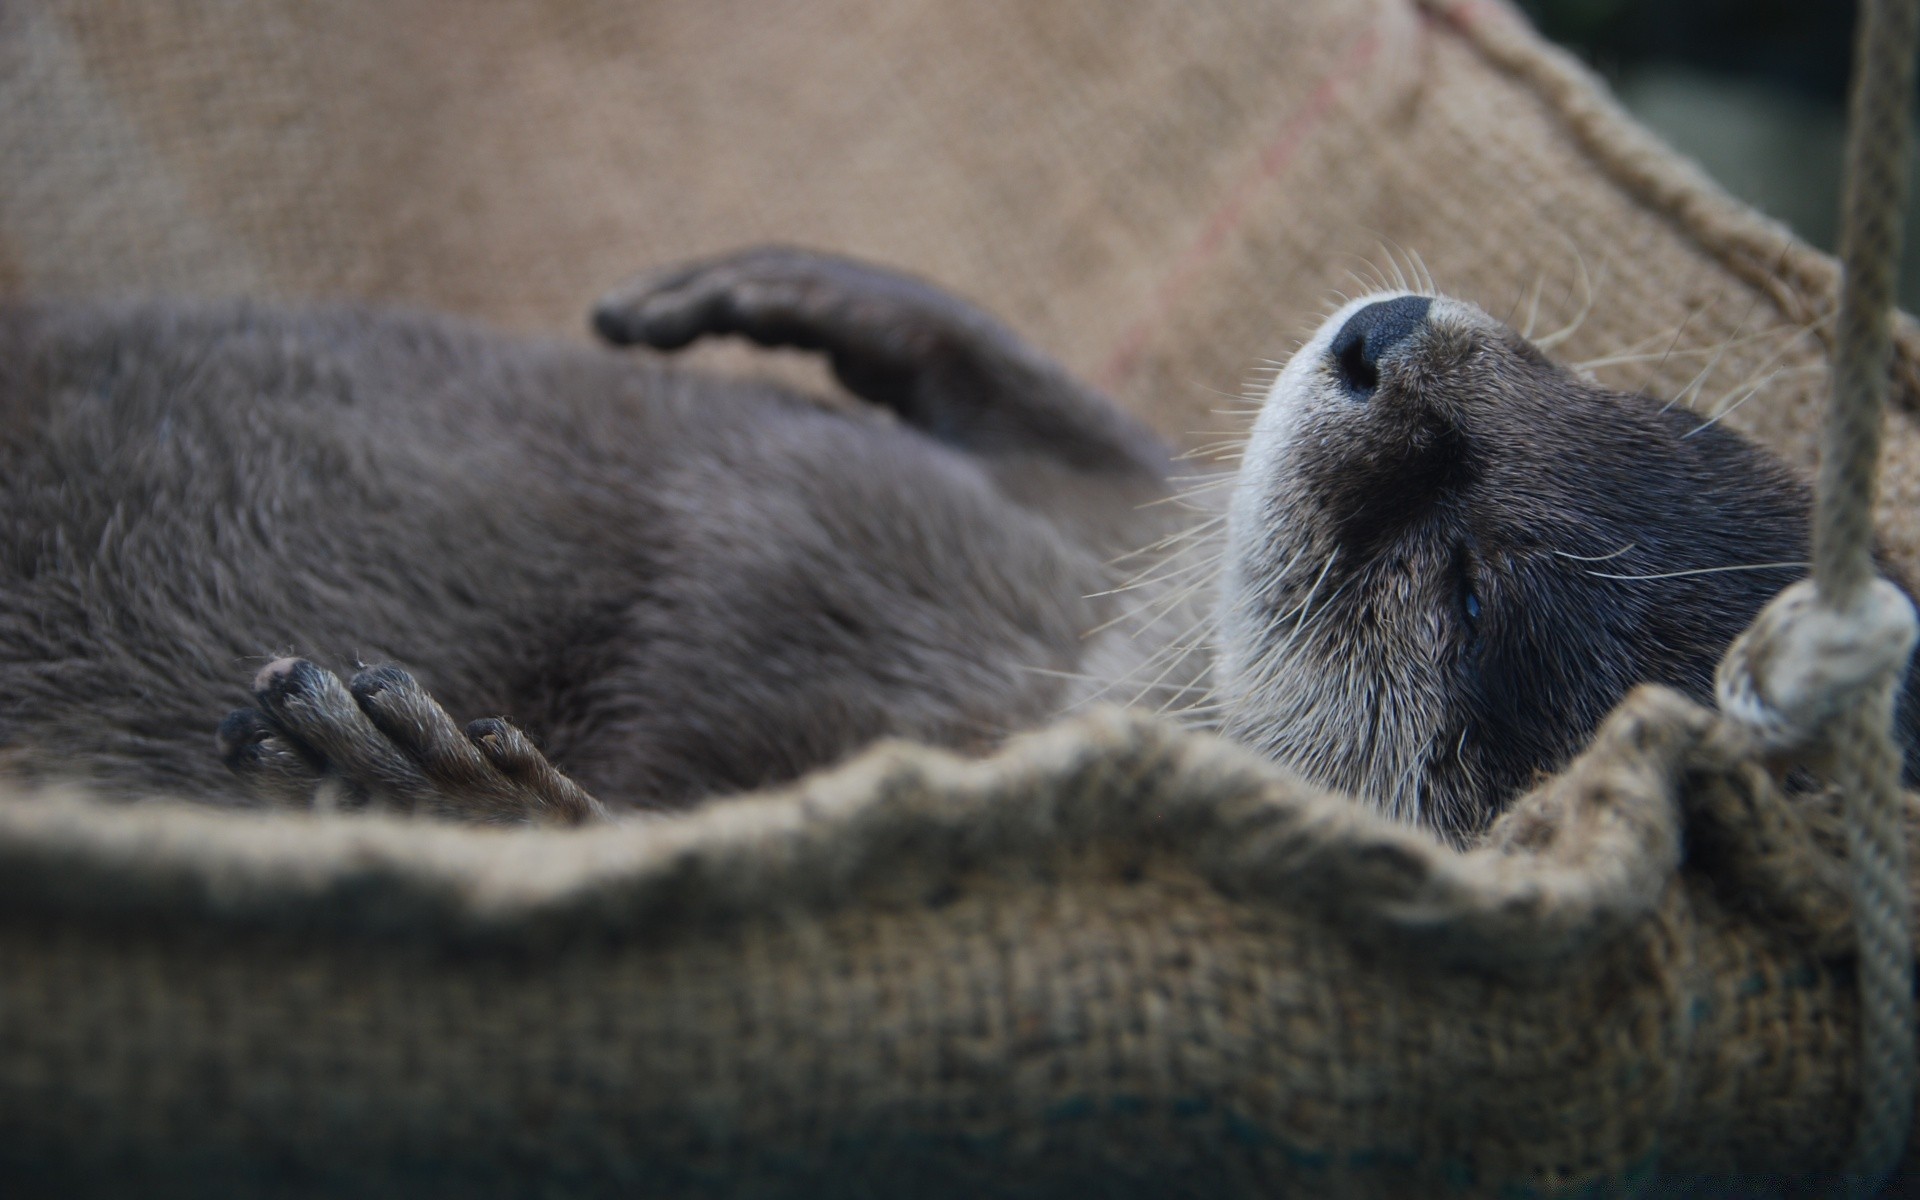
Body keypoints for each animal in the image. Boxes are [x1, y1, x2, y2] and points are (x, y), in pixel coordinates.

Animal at [0, 247, 1912, 837]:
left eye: (1464, 586)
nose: (1387, 341)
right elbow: (1093, 455)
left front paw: (441, 793)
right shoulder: (1071, 557)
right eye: (1581, 381)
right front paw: (831, 300)